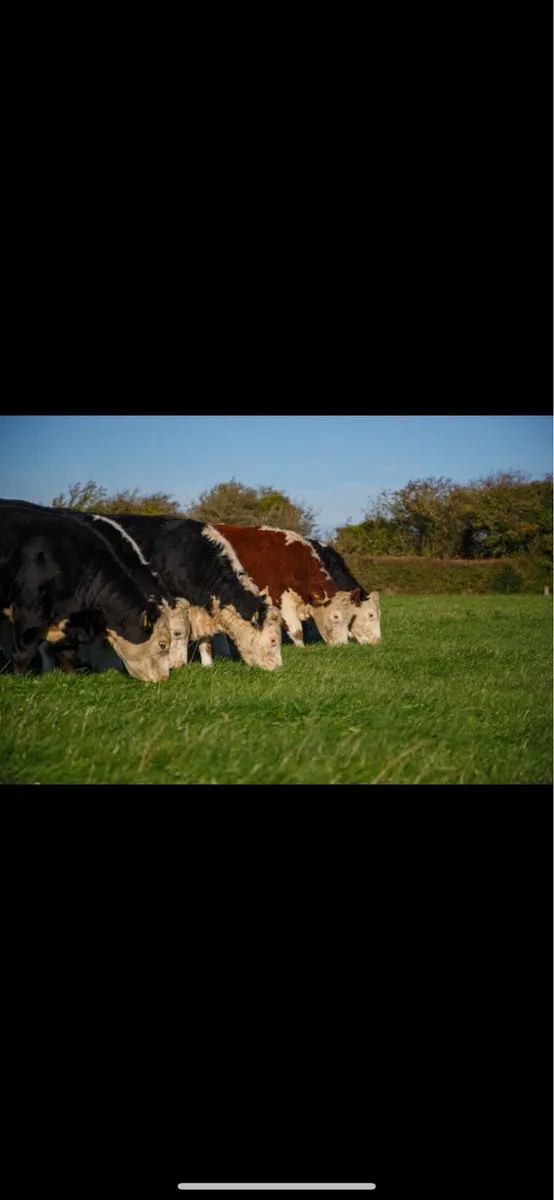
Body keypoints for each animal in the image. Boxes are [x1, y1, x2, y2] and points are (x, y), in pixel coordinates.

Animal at [0, 500, 172, 681]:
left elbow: (67, 654)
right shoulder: (28, 611)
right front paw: (20, 679)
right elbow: (24, 653)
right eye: (163, 644)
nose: (164, 678)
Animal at [211, 524, 355, 648]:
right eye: (336, 616)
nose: (343, 645)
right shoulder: (281, 600)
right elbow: (297, 630)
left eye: (349, 617)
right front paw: (301, 649)